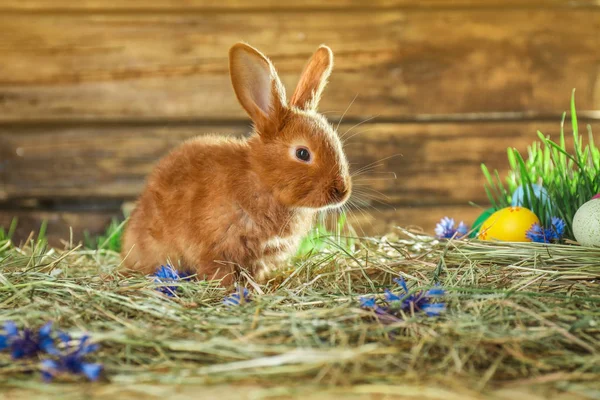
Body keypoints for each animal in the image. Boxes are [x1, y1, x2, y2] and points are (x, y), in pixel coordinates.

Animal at [121, 42, 352, 284]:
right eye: (302, 153)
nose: (342, 191)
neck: (261, 179)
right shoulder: (216, 247)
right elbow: (219, 273)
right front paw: (231, 289)